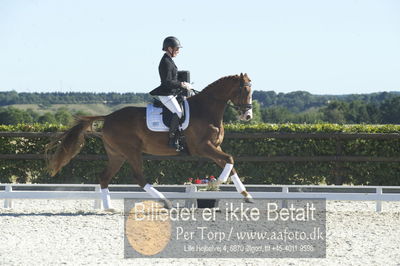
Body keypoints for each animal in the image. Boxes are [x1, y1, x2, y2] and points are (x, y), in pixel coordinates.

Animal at [46, 72, 253, 210]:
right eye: (244, 90)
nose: (248, 116)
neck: (206, 110)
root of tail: (109, 117)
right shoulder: (203, 147)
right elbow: (229, 159)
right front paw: (217, 182)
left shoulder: (215, 146)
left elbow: (230, 163)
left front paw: (246, 195)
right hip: (131, 151)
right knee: (139, 177)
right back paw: (165, 202)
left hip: (117, 154)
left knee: (104, 177)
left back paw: (109, 207)